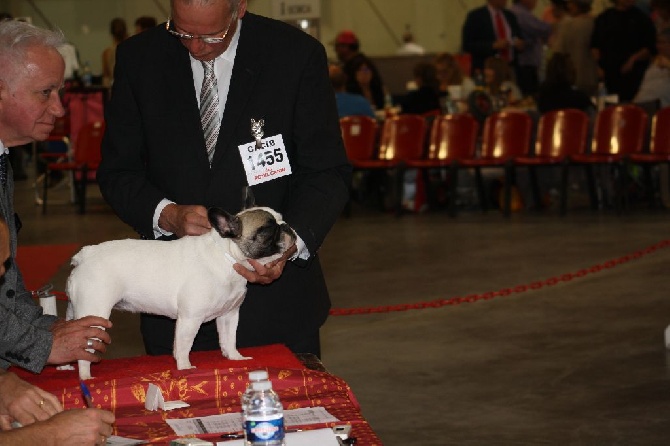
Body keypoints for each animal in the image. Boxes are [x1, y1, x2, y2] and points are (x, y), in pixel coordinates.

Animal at [66, 206, 296, 380]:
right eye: (268, 229)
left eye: (281, 220)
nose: (287, 226)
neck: (227, 257)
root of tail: (86, 255)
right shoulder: (190, 318)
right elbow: (184, 346)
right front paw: (185, 368)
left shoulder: (228, 315)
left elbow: (229, 339)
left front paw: (235, 358)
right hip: (95, 313)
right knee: (85, 348)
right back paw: (86, 377)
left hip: (76, 309)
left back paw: (65, 367)